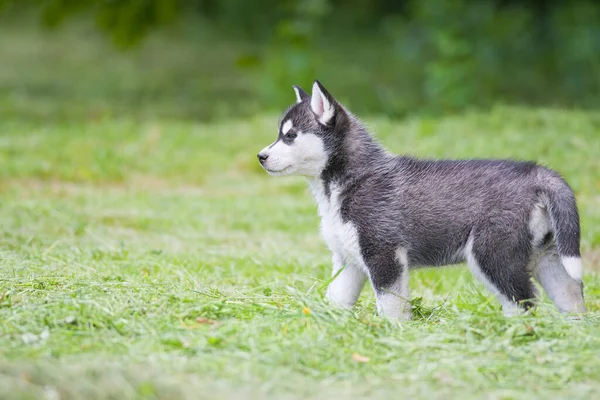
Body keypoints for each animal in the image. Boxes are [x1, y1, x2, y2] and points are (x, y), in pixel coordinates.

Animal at [256, 81, 584, 318]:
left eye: (290, 136)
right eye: (279, 134)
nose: (260, 156)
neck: (351, 181)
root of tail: (537, 172)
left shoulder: (385, 256)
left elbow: (391, 306)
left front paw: (392, 333)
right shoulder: (348, 261)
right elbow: (336, 299)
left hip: (492, 255)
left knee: (523, 301)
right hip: (546, 255)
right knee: (571, 292)